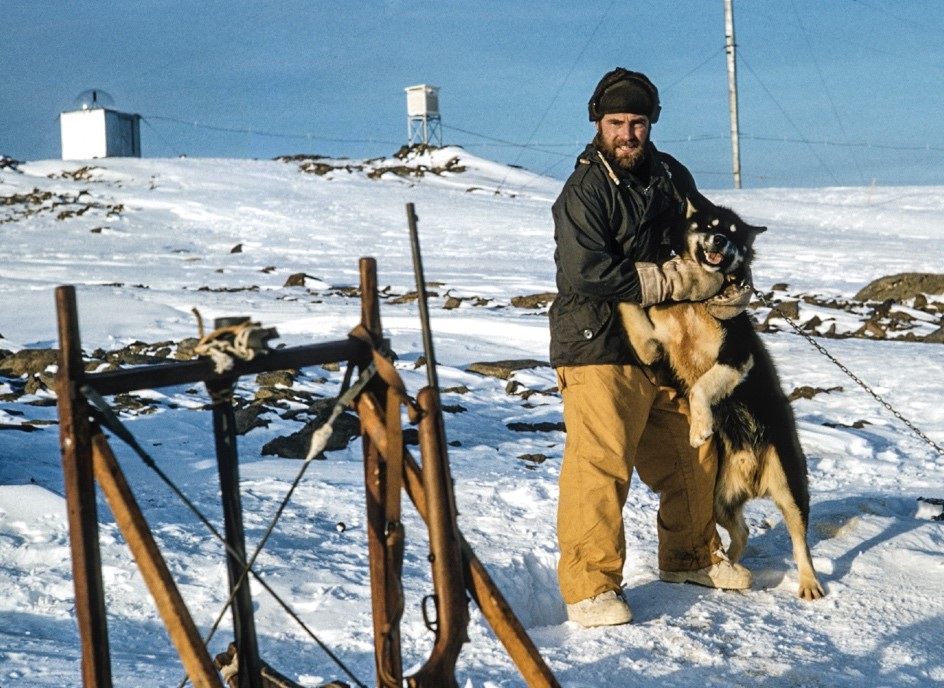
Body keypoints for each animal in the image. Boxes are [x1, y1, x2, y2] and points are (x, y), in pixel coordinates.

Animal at [616, 202, 824, 600]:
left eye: (733, 232)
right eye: (709, 225)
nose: (719, 240)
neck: (695, 305)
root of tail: (754, 476)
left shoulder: (736, 358)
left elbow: (701, 387)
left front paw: (700, 428)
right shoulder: (652, 347)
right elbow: (631, 310)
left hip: (790, 490)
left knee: (799, 542)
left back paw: (809, 583)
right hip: (717, 500)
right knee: (742, 531)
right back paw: (728, 566)